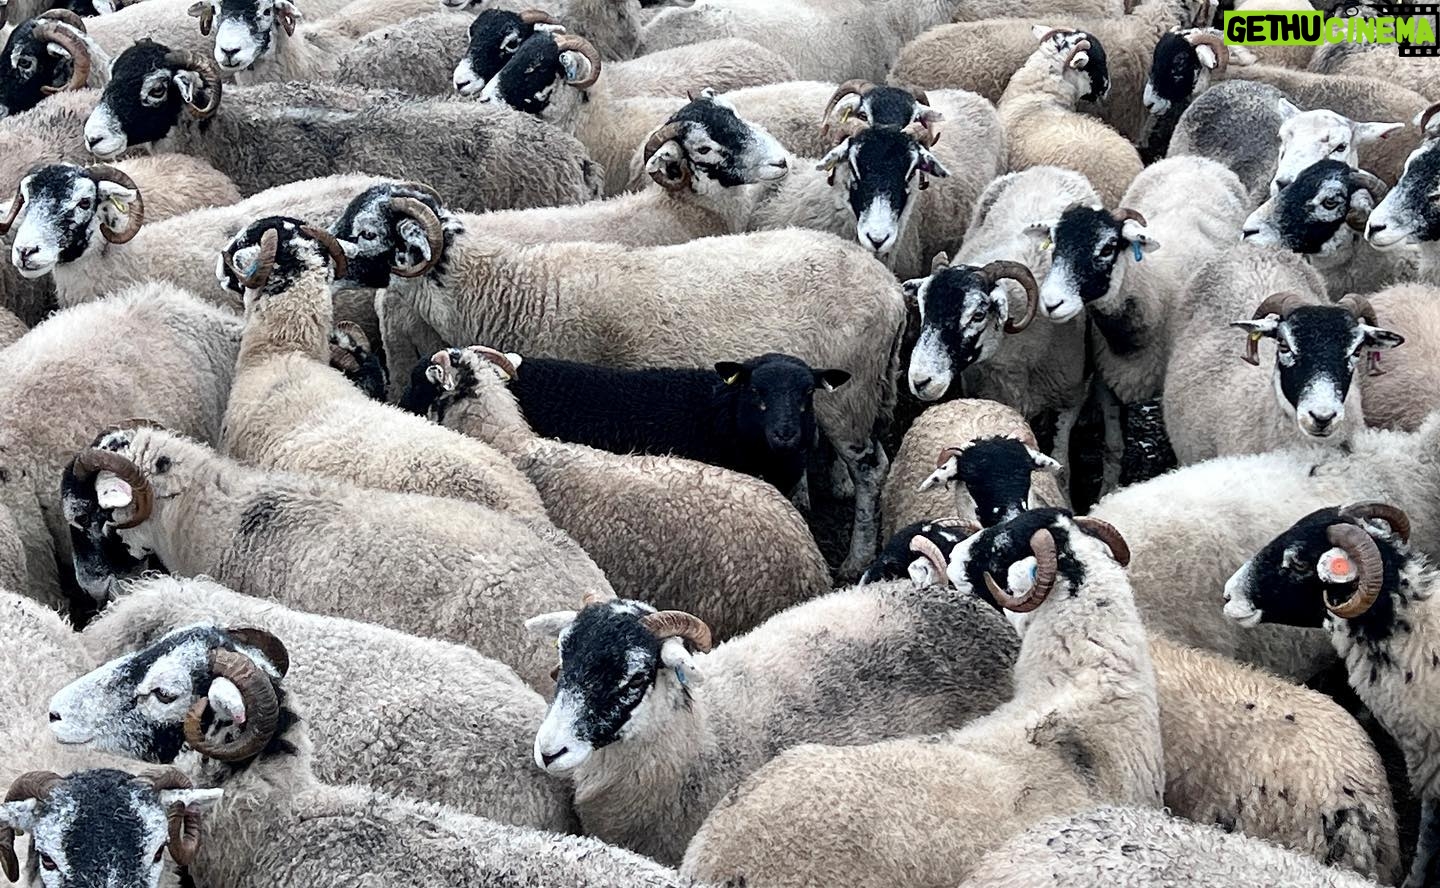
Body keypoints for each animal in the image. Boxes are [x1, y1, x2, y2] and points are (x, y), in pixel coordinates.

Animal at [330, 183, 907, 577]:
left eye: (365, 234)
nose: (324, 256)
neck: (512, 291)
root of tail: (891, 289)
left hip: (848, 397)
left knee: (872, 469)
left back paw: (857, 555)